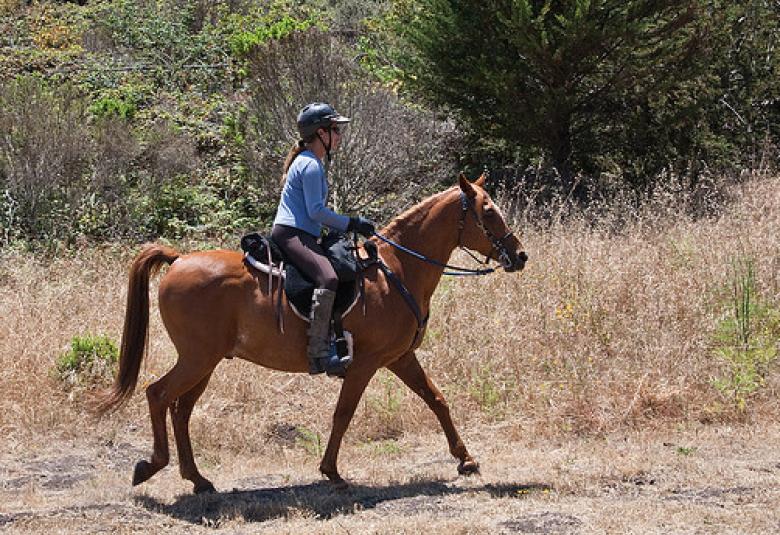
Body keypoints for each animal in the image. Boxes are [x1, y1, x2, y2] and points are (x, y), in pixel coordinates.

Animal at [94, 175, 528, 494]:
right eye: (487, 211)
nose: (520, 255)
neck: (399, 270)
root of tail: (179, 259)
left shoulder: (401, 357)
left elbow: (437, 400)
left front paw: (466, 459)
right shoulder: (366, 362)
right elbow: (344, 412)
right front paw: (331, 471)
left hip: (206, 362)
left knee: (181, 409)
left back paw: (198, 480)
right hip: (197, 358)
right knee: (158, 395)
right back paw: (151, 466)